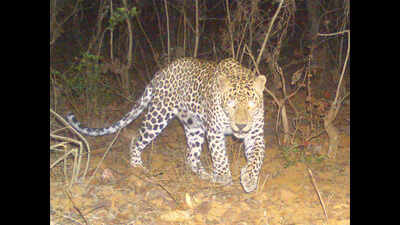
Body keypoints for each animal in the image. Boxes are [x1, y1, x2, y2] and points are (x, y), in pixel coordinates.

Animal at [67, 57, 268, 192]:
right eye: (231, 105)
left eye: (252, 105)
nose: (241, 126)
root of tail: (162, 71)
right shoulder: (214, 130)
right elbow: (219, 154)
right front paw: (224, 176)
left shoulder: (255, 134)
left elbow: (257, 157)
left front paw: (249, 179)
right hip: (159, 114)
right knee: (136, 139)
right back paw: (137, 167)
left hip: (194, 126)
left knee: (190, 156)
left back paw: (204, 174)